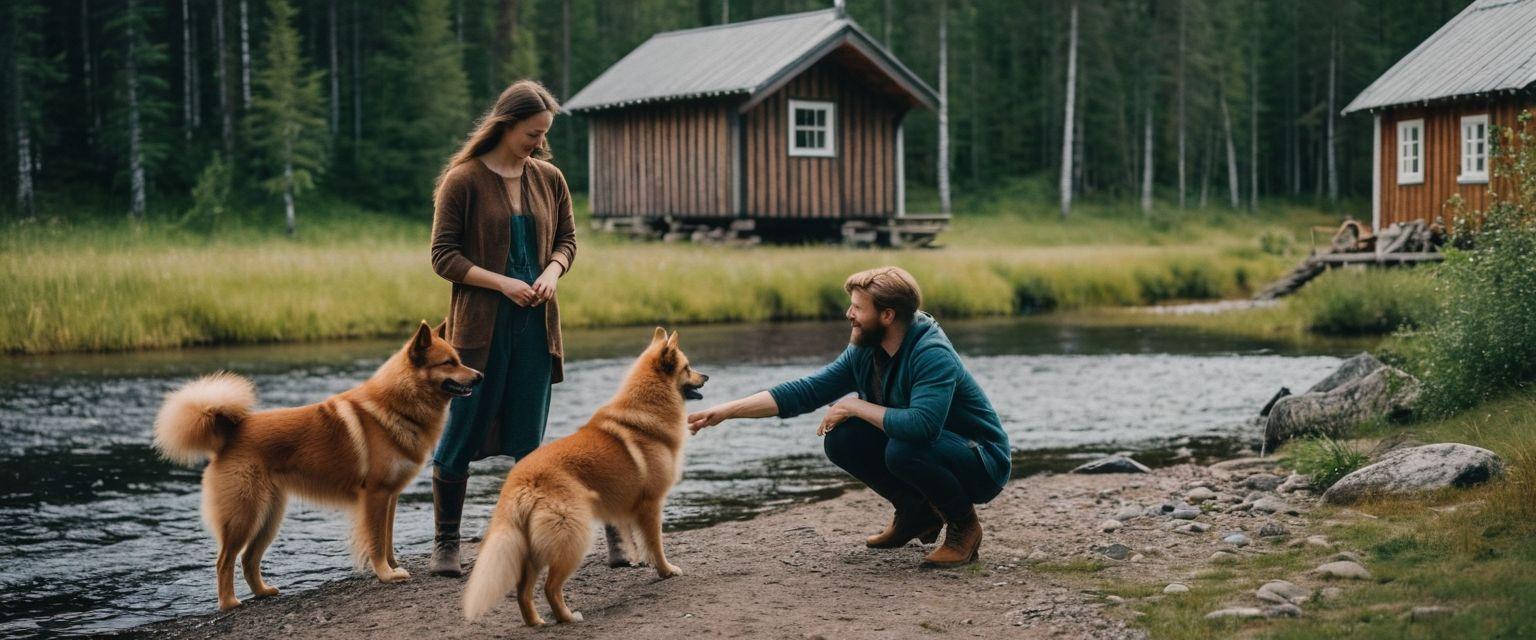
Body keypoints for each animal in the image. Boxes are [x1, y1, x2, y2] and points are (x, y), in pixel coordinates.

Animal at [153, 322, 479, 610]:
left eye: (458, 360)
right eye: (449, 362)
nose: (480, 376)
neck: (396, 404)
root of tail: (230, 431)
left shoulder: (390, 497)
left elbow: (387, 539)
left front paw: (393, 566)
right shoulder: (375, 496)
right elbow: (376, 542)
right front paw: (385, 574)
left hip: (269, 516)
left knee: (248, 559)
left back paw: (263, 592)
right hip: (244, 514)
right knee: (225, 560)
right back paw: (228, 603)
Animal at [460, 328, 706, 623]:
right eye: (687, 368)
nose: (706, 376)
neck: (648, 407)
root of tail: (524, 482)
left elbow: (637, 541)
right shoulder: (651, 505)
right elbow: (655, 544)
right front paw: (666, 571)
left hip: (534, 549)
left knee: (523, 590)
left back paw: (536, 622)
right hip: (573, 538)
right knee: (550, 587)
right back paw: (567, 617)